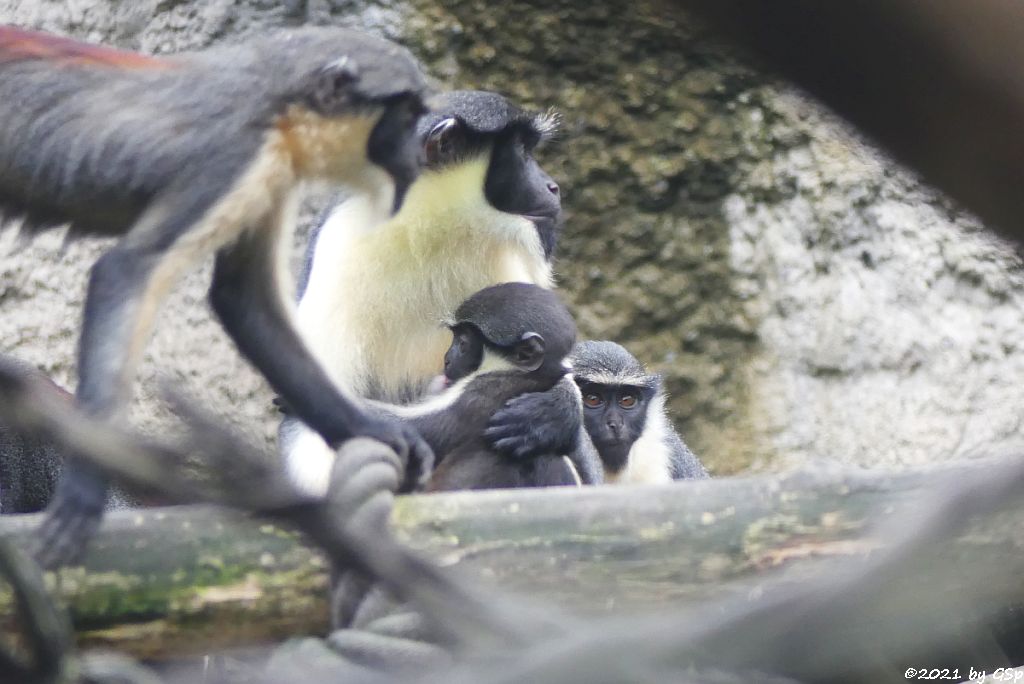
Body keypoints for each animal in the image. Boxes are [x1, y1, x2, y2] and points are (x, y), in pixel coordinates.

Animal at [0, 24, 432, 565]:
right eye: (406, 116)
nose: (417, 153)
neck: (275, 99)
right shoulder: (232, 161)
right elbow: (125, 271)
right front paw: (83, 490)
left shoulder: (269, 176)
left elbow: (243, 299)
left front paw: (370, 428)